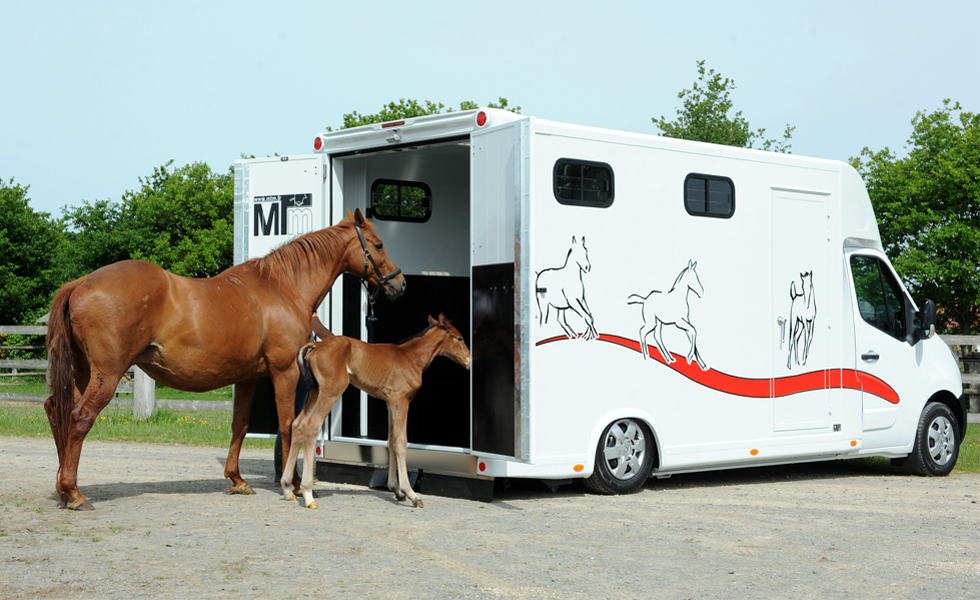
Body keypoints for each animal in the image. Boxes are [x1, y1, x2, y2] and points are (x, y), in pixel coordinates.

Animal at [43, 208, 406, 510]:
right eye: (378, 244)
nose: (400, 284)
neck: (281, 288)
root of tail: (80, 283)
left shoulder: (247, 377)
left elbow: (240, 425)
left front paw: (237, 479)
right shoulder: (284, 372)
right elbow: (289, 425)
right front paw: (293, 484)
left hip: (83, 373)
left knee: (58, 412)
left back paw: (63, 488)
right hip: (107, 374)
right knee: (79, 418)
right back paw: (74, 493)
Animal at [283, 314, 470, 509]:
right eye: (459, 338)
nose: (469, 361)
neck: (410, 357)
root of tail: (316, 345)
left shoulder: (390, 403)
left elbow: (391, 441)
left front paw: (396, 490)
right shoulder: (401, 401)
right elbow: (401, 443)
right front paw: (411, 494)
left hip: (315, 391)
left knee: (297, 424)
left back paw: (287, 487)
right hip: (331, 390)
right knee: (311, 425)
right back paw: (307, 493)